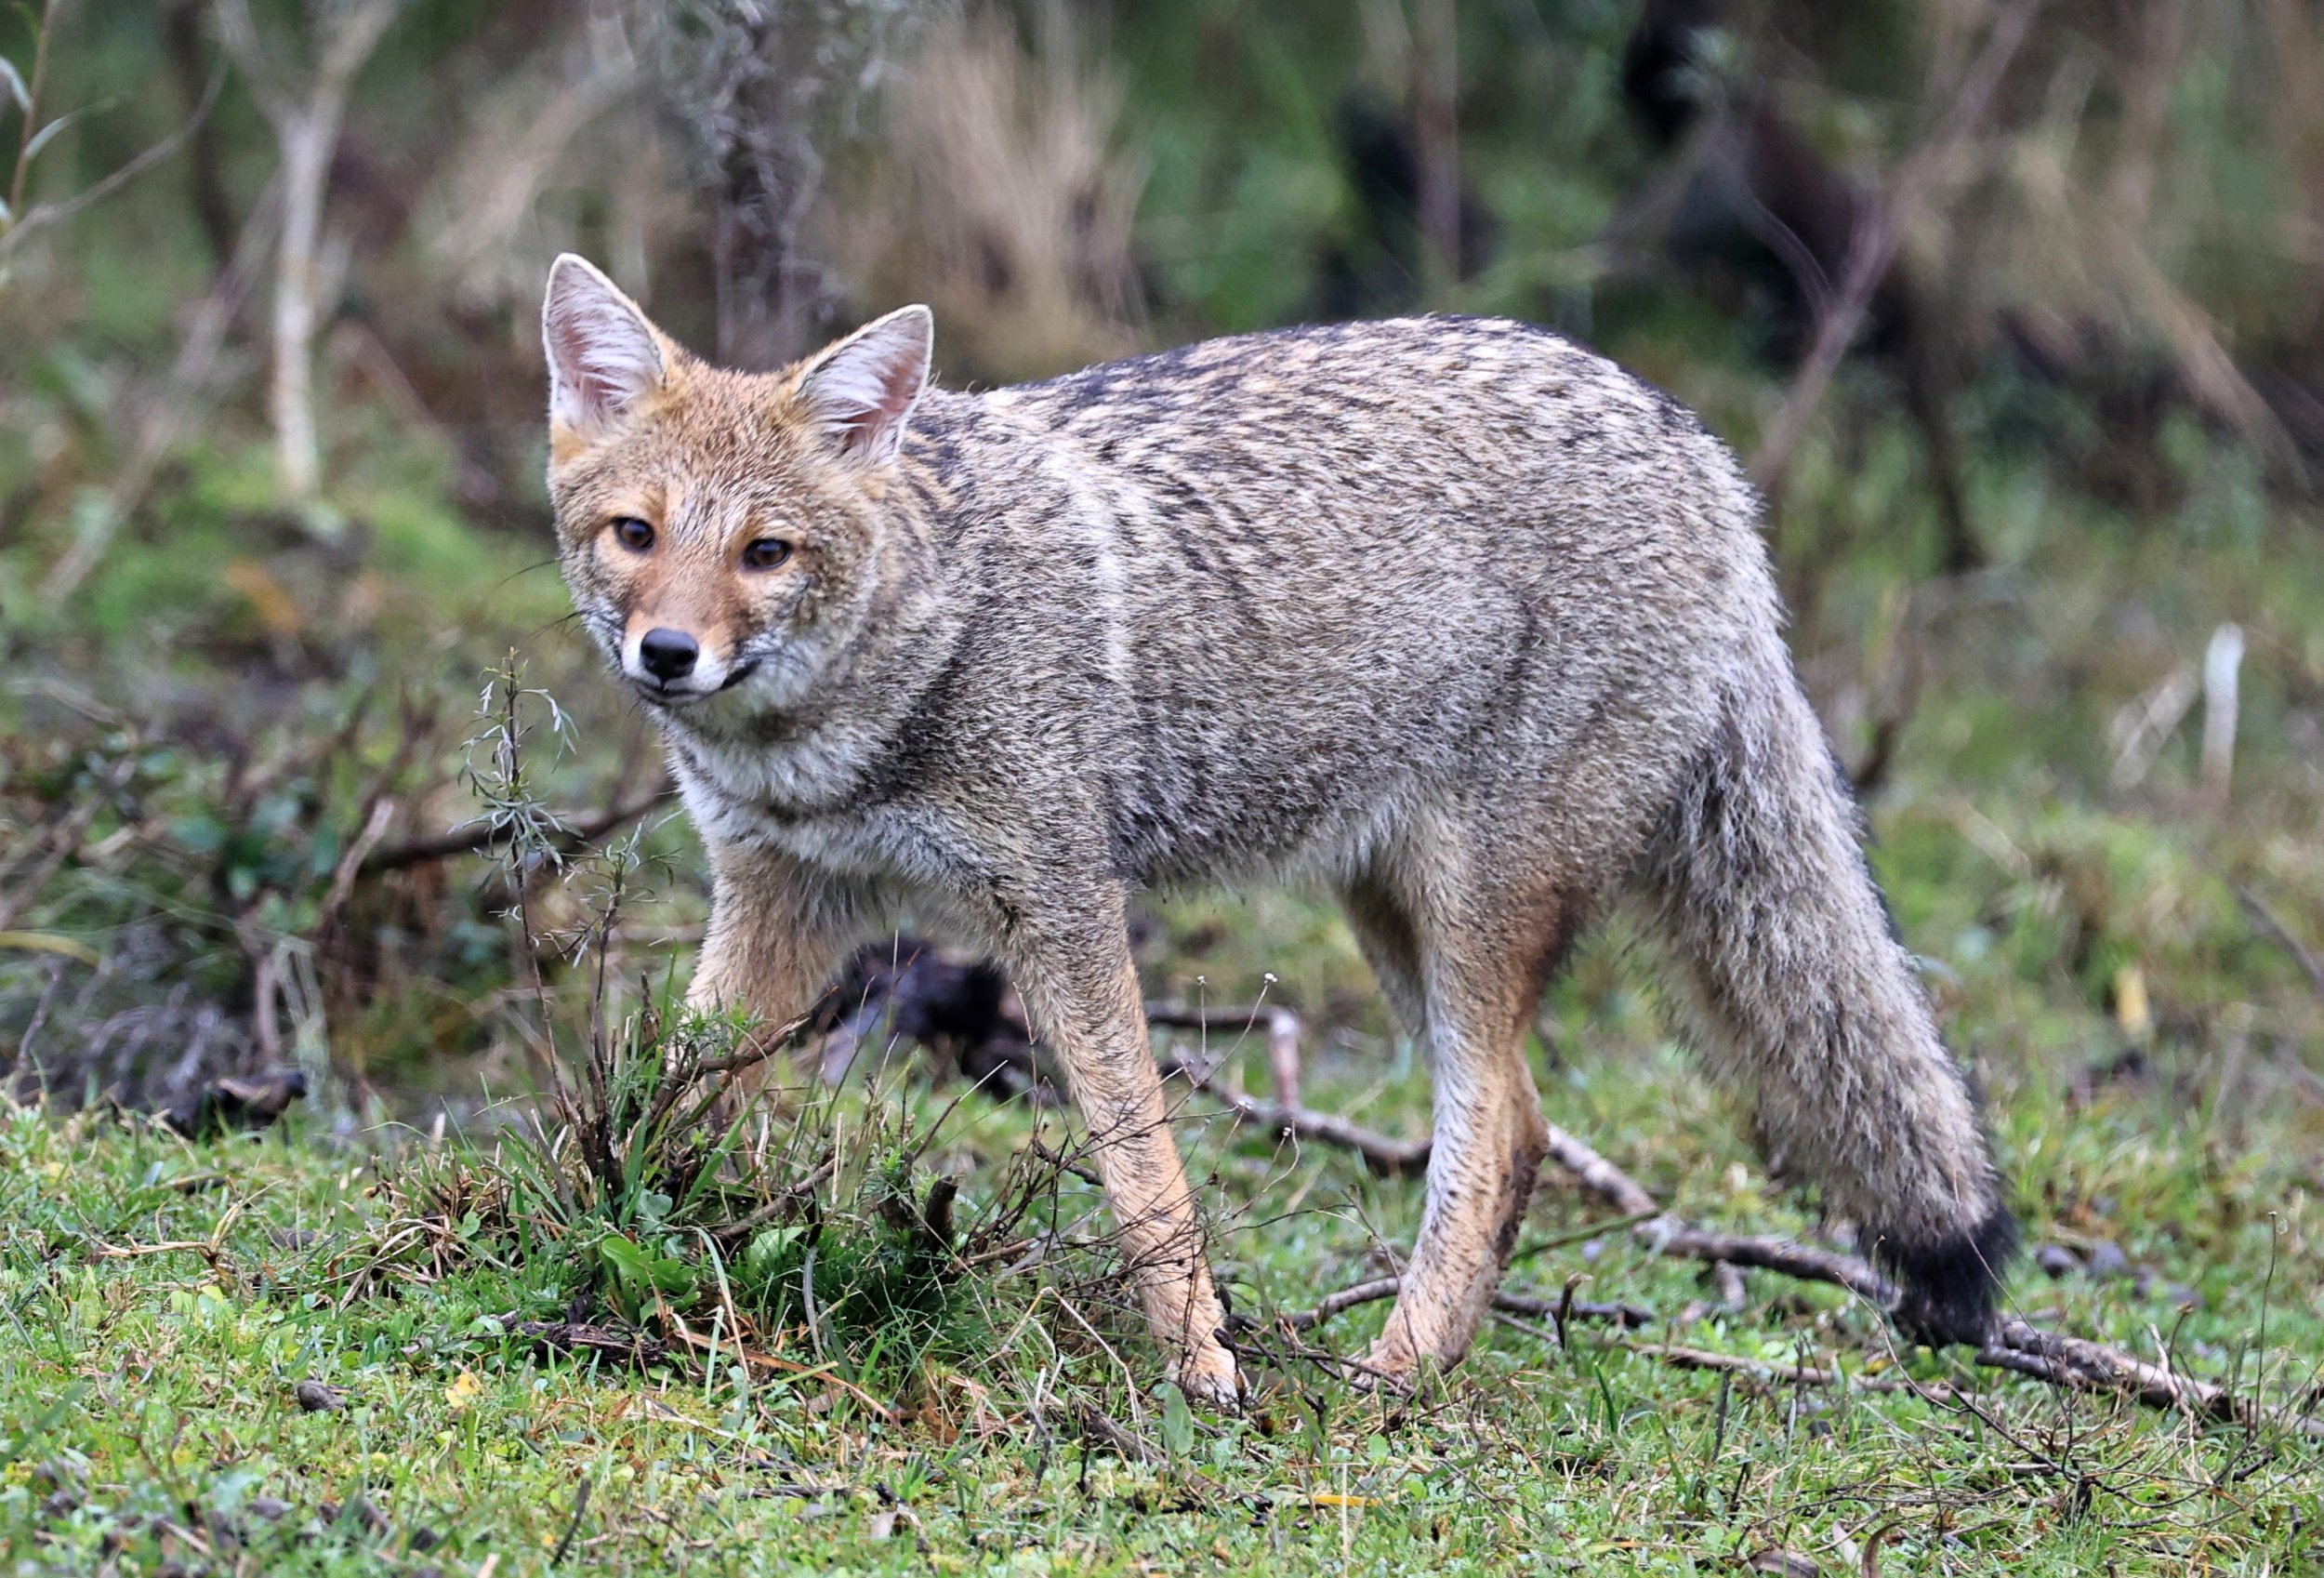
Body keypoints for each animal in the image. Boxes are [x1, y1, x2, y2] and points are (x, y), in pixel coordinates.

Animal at [540, 253, 2017, 1406]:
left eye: (765, 554)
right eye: (637, 534)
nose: (667, 655)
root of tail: (1698, 449)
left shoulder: (1063, 902)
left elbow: (1143, 1167)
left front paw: (1203, 1368)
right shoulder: (781, 899)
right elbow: (667, 1091)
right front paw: (608, 1232)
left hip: (1474, 921)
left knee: (1498, 1131)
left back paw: (1388, 1380)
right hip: (1393, 920)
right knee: (1531, 1125)